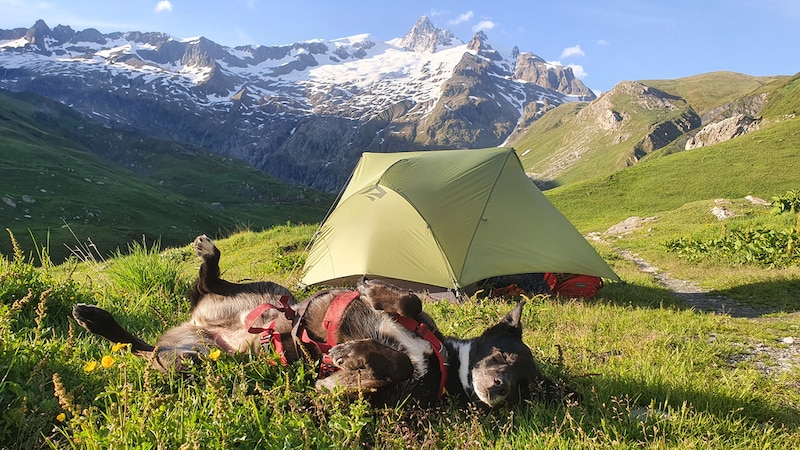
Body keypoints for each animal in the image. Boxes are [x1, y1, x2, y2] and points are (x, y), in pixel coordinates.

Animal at [72, 236, 580, 408]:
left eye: (524, 388)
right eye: (502, 355)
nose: (498, 390)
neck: (441, 361)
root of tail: (201, 328)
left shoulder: (380, 388)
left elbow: (385, 367)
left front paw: (349, 361)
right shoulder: (412, 321)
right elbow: (410, 300)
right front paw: (376, 294)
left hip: (197, 358)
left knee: (142, 351)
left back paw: (94, 320)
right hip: (266, 291)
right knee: (205, 284)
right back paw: (206, 255)